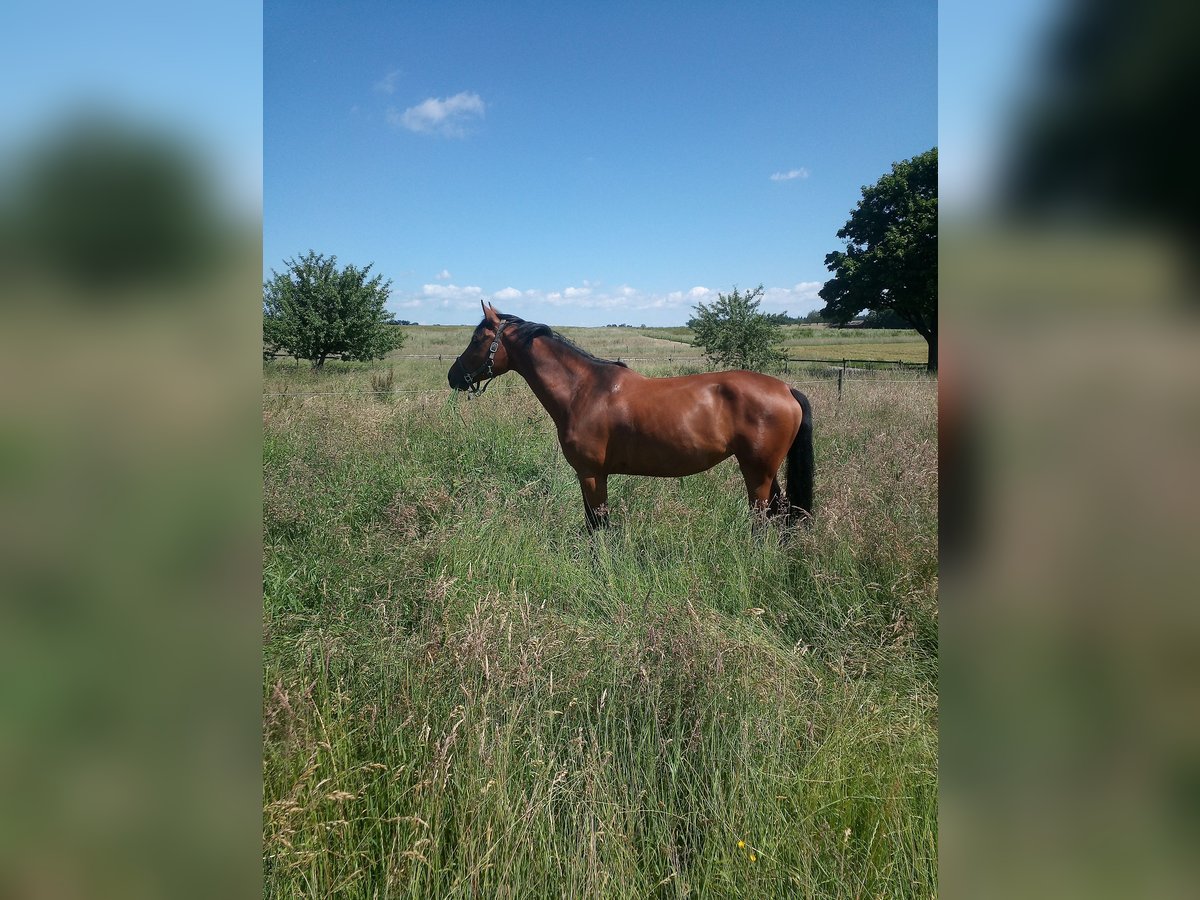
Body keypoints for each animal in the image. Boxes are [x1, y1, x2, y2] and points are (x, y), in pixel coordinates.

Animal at [451, 303, 816, 532]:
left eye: (477, 339)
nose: (453, 376)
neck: (584, 389)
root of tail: (786, 389)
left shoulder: (591, 475)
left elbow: (597, 526)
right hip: (765, 472)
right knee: (781, 512)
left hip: (757, 473)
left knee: (763, 519)